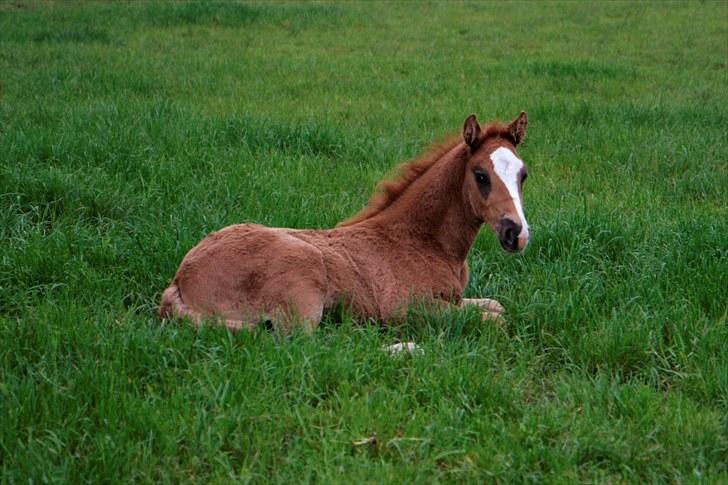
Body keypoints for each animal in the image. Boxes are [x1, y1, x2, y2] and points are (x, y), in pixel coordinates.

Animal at [159, 112, 528, 332]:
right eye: (480, 175)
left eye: (523, 174)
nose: (517, 233)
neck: (421, 241)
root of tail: (180, 279)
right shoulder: (405, 309)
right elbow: (494, 319)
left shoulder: (452, 300)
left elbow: (496, 306)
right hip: (303, 279)